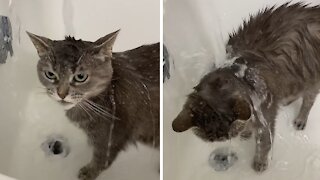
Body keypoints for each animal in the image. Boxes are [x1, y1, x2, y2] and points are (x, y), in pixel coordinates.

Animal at [26, 30, 159, 179]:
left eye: (80, 77)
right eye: (50, 74)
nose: (61, 94)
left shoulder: (110, 138)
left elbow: (101, 159)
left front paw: (88, 172)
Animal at [172, 2, 320, 172]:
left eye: (227, 134)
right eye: (212, 138)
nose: (224, 137)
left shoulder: (264, 118)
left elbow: (263, 145)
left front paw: (260, 163)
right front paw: (246, 132)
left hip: (311, 77)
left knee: (309, 100)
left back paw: (300, 119)